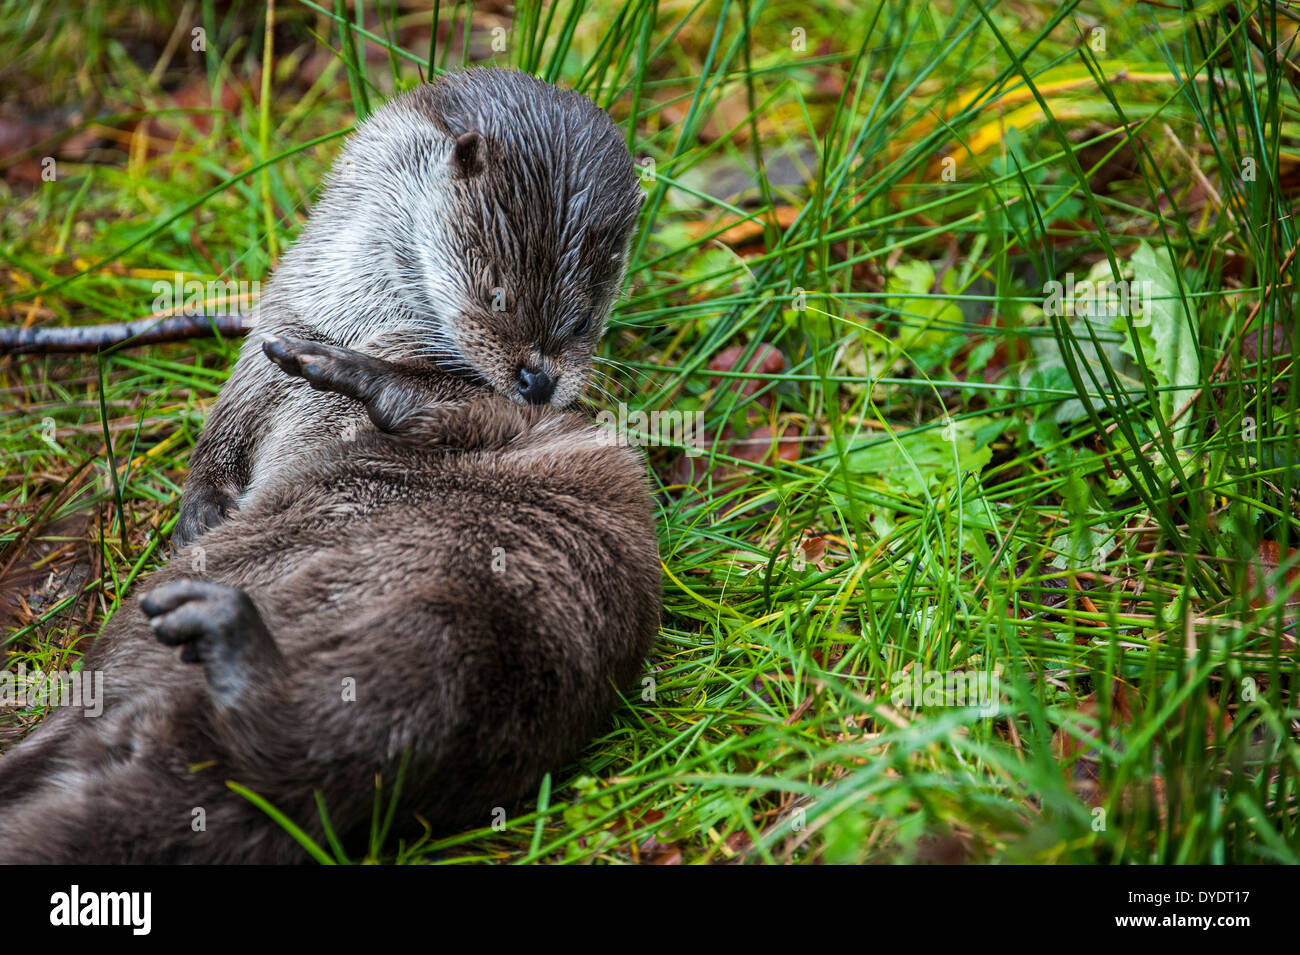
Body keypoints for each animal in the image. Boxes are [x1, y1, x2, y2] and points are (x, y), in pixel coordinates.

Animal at [0, 337, 660, 867]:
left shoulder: (518, 426)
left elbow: (441, 397)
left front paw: (333, 363)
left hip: (466, 638)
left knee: (339, 737)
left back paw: (226, 632)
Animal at [175, 67, 642, 545]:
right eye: (497, 295)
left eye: (584, 320)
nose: (540, 381)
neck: (366, 322)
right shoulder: (286, 320)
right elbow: (230, 416)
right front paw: (204, 503)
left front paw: (355, 369)